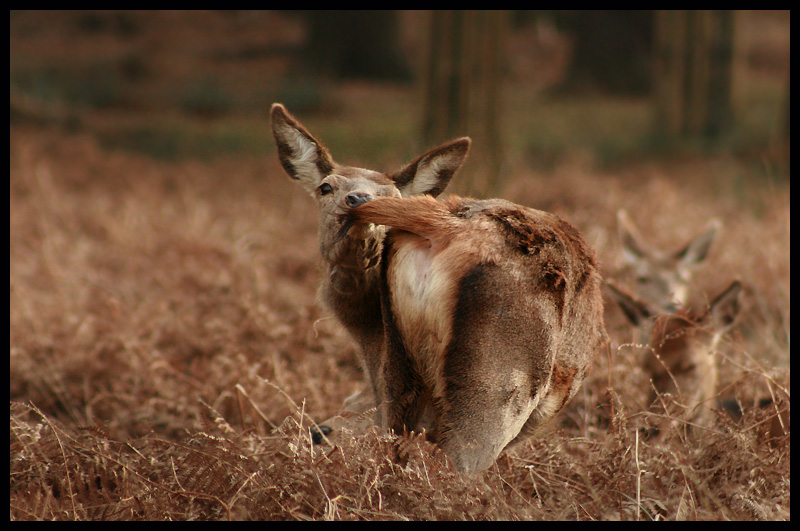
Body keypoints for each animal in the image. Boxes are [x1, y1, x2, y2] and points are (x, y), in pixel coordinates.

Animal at [270, 103, 608, 474]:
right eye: (325, 187)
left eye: (393, 192)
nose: (357, 199)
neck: (366, 335)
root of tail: (440, 224)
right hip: (503, 368)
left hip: (401, 371)